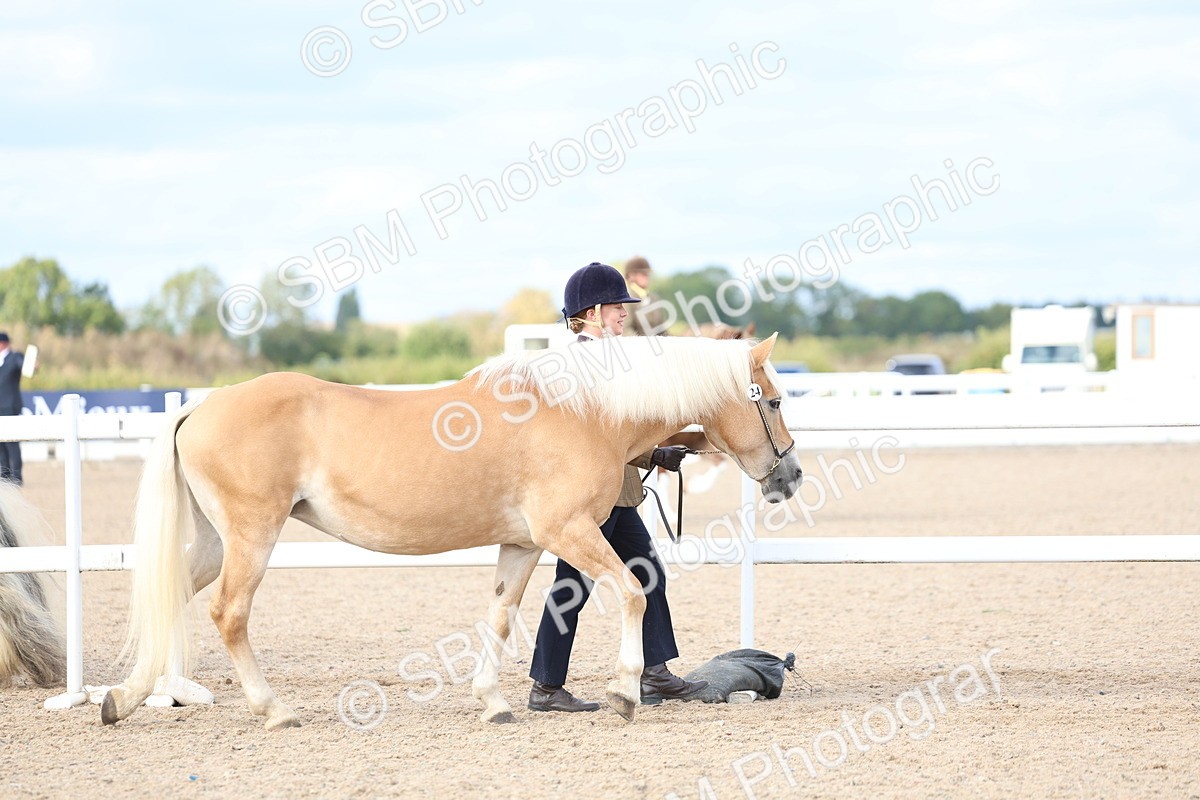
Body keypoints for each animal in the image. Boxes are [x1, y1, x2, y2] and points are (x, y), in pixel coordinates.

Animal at [100, 333, 803, 729]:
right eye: (772, 399)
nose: (790, 475)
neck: (583, 412)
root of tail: (201, 405)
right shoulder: (568, 531)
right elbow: (631, 592)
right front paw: (625, 692)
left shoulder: (523, 543)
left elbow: (499, 616)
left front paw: (493, 702)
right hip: (252, 536)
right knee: (230, 613)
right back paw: (274, 710)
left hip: (216, 543)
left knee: (172, 595)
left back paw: (122, 700)